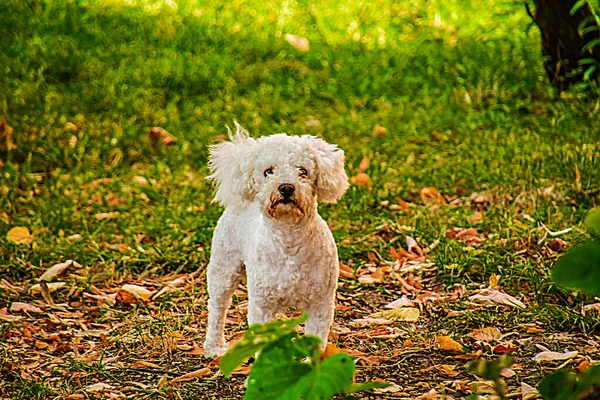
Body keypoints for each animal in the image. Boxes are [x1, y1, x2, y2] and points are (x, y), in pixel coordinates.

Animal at [204, 125, 350, 356]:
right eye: (268, 171)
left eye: (303, 171)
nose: (286, 187)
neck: (289, 239)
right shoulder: (261, 306)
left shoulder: (320, 304)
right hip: (223, 266)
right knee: (218, 308)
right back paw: (214, 347)